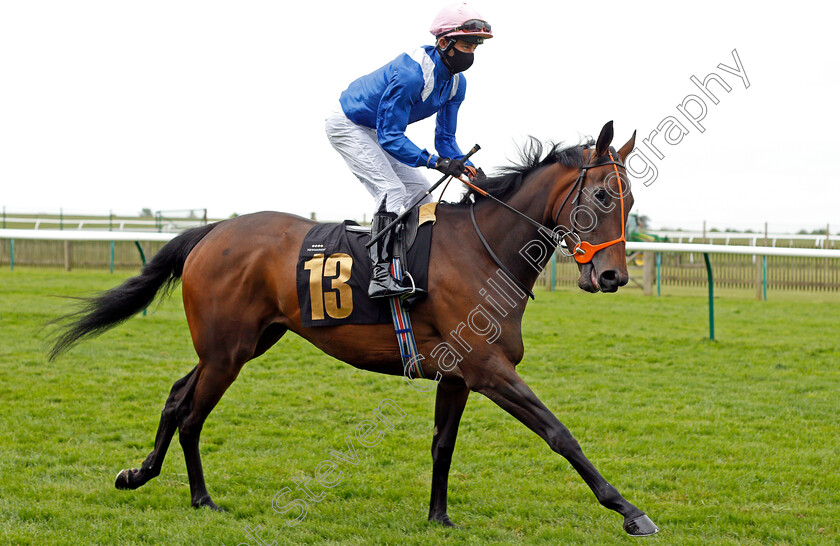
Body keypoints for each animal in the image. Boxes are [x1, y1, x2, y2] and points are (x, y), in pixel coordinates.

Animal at [49, 121, 660, 532]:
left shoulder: (457, 374)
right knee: (191, 411)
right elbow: (559, 432)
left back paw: (154, 480)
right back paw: (188, 494)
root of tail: (213, 231)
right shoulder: (488, 369)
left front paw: (438, 517)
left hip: (242, 343)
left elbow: (442, 444)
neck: (485, 250)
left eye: (630, 199)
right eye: (601, 194)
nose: (613, 275)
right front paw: (630, 511)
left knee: (179, 396)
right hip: (227, 351)